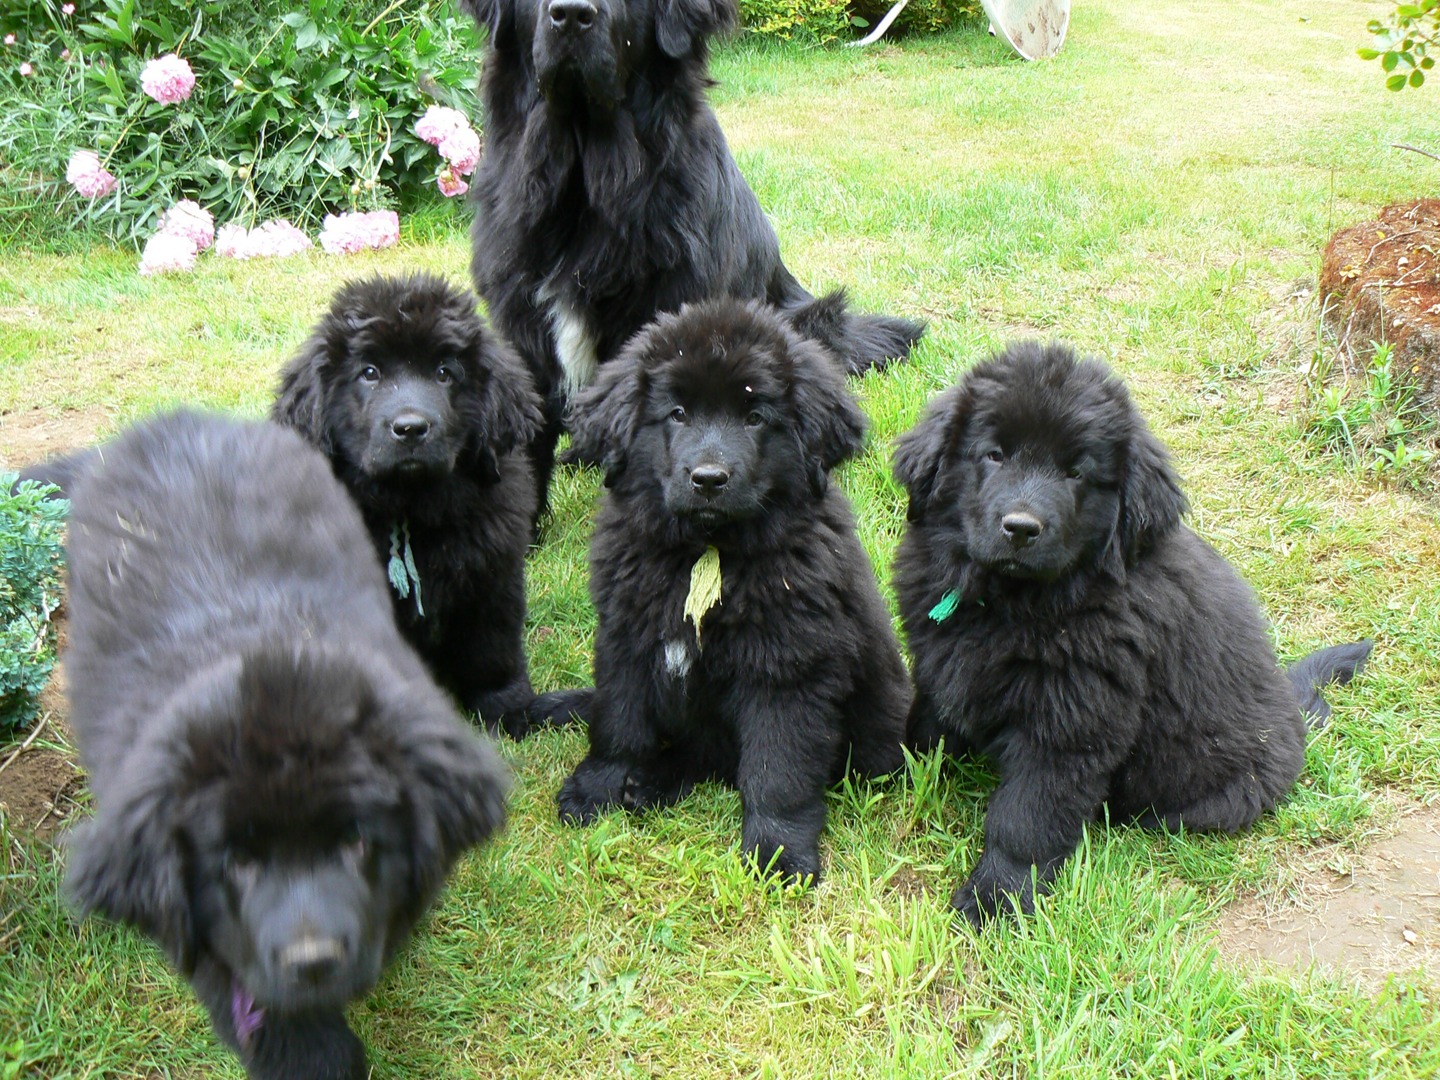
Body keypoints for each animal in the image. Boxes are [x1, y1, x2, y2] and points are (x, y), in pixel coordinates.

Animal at [63, 411, 512, 1080]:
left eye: (356, 840)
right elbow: (272, 1016)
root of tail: (178, 419)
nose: (314, 961)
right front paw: (315, 1053)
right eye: (236, 862)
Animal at [275, 275, 550, 743]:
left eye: (444, 372)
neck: (410, 509)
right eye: (370, 373)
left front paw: (507, 711)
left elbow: (493, 650)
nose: (410, 428)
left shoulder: (492, 576)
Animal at [892, 342, 1376, 927]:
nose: (1021, 528)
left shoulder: (1071, 726)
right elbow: (924, 728)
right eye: (993, 455)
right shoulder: (941, 666)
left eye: (1076, 472)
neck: (1017, 603)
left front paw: (995, 901)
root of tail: (1291, 705)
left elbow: (1025, 820)